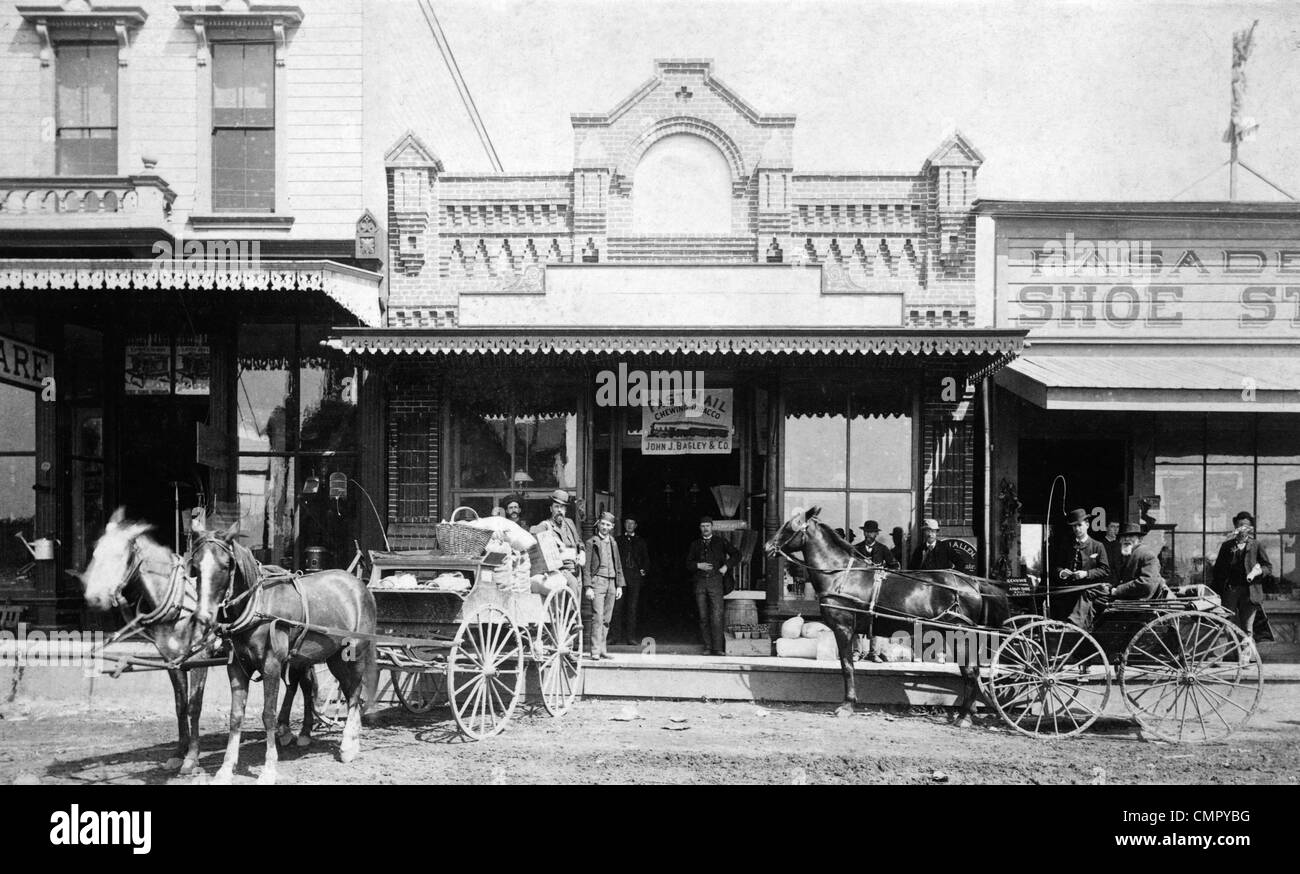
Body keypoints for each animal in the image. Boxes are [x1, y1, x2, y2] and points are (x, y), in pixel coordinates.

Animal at [81, 504, 325, 780]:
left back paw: (302, 733)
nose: (93, 597)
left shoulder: (199, 659)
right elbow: (180, 706)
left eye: (118, 556)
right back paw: (288, 730)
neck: (179, 605)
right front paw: (177, 754)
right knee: (298, 683)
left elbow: (194, 707)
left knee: (304, 683)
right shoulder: (173, 661)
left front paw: (191, 759)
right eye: (95, 553)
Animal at [189, 520, 379, 785]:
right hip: (329, 657)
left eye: (226, 565)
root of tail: (359, 585)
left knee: (354, 691)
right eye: (195, 566)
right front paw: (225, 769)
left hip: (354, 654)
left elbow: (268, 714)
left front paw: (269, 769)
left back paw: (349, 746)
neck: (257, 605)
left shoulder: (271, 665)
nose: (204, 617)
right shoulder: (236, 667)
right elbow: (236, 715)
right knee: (331, 688)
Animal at [759, 504, 1013, 723]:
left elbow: (847, 666)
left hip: (959, 636)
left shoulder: (843, 628)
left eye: (790, 526)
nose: (767, 547)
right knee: (971, 672)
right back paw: (968, 711)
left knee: (970, 672)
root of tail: (971, 583)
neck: (840, 575)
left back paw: (964, 717)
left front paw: (847, 705)